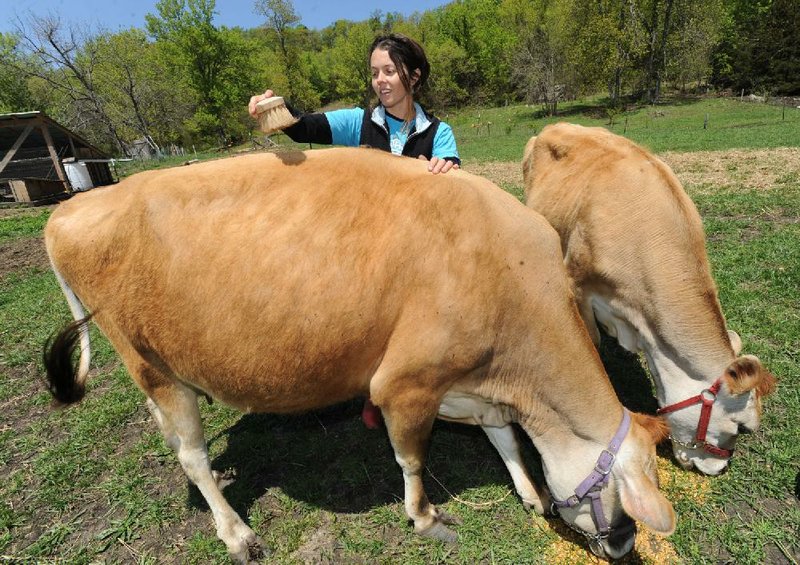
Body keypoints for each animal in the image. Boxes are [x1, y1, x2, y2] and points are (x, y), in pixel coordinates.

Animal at [45, 147, 676, 560]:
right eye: (626, 502)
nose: (624, 544)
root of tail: (72, 207)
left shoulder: (472, 382)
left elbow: (505, 439)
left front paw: (530, 492)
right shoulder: (404, 383)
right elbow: (412, 458)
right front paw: (425, 517)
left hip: (156, 373)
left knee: (174, 442)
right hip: (153, 366)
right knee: (192, 456)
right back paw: (237, 534)